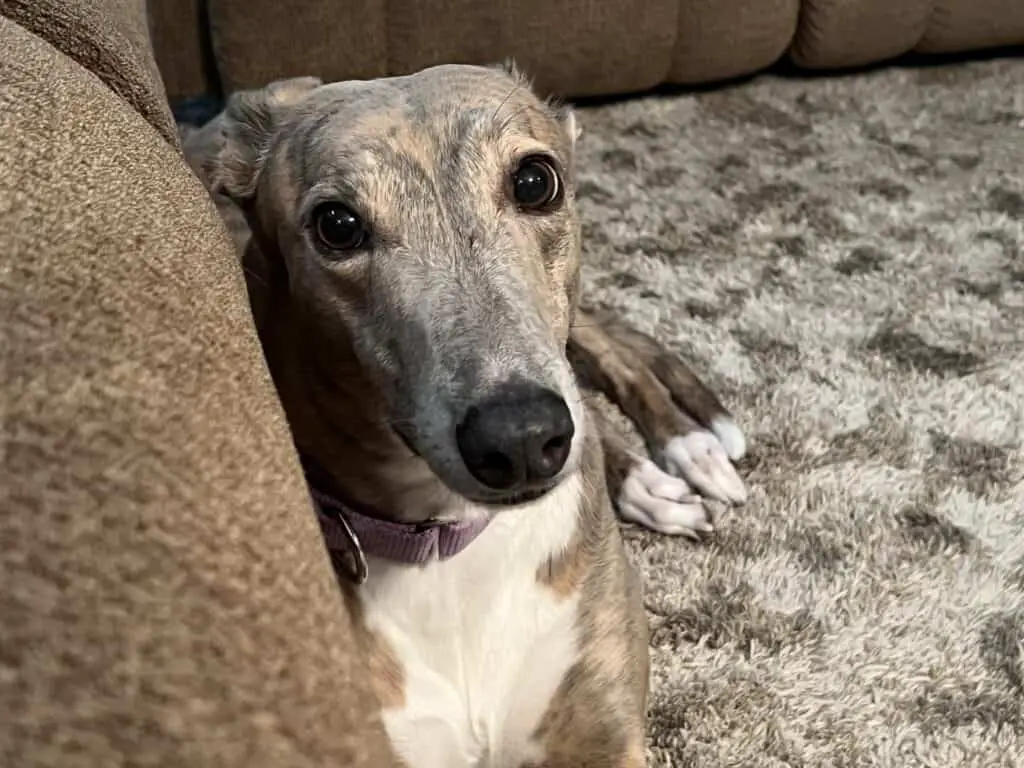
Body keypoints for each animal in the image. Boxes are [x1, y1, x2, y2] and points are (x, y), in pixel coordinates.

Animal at [182, 64, 745, 768]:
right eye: (337, 224)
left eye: (535, 180)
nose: (523, 440)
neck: (449, 549)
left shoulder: (607, 735)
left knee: (608, 363)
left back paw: (682, 451)